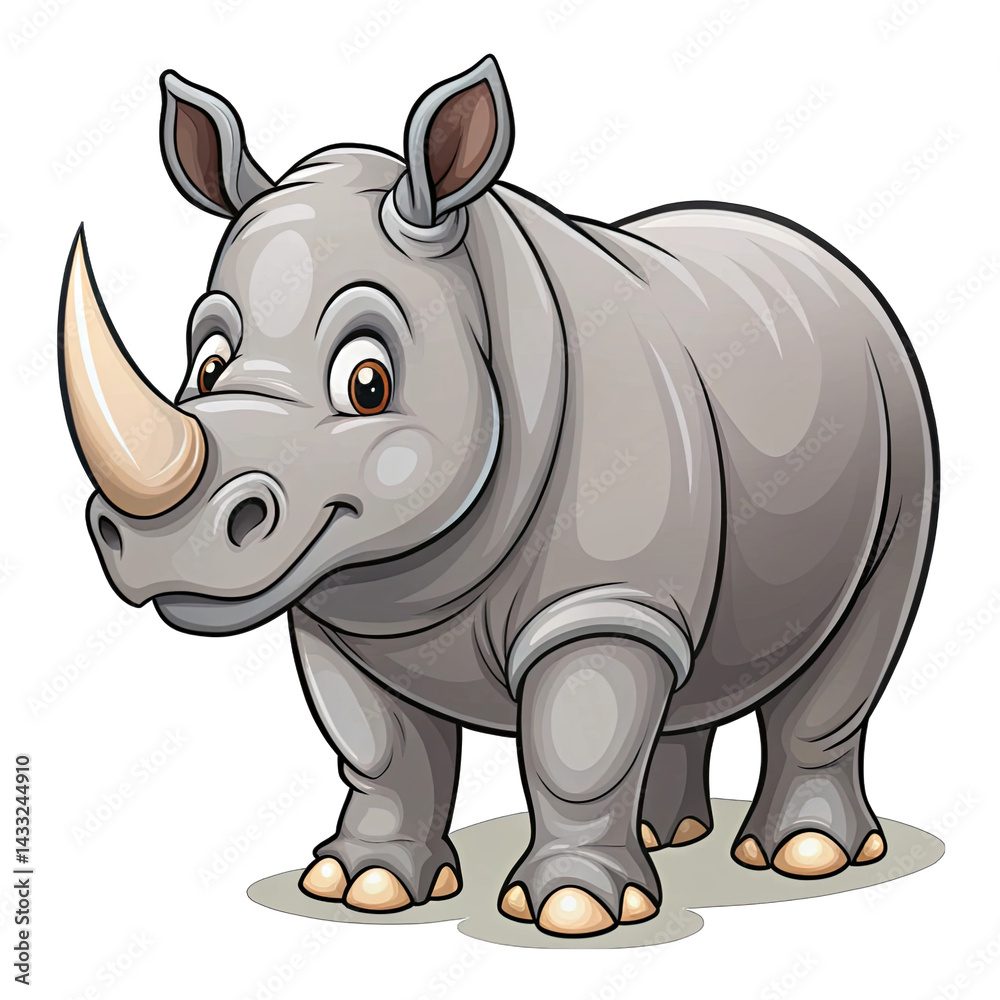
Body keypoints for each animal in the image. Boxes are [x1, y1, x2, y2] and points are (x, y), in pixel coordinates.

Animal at [59, 55, 937, 937]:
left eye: (368, 384)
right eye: (206, 368)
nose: (163, 541)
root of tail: (828, 260)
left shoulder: (600, 601)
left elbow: (577, 746)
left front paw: (572, 911)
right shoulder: (340, 610)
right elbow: (380, 748)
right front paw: (359, 886)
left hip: (902, 421)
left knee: (852, 646)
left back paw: (803, 857)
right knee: (692, 656)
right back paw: (671, 836)